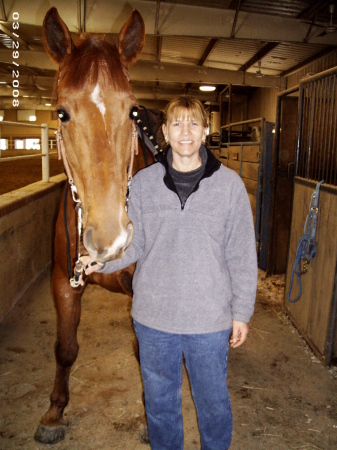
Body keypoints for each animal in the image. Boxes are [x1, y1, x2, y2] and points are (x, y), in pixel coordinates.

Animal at [33, 8, 156, 444]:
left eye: (133, 111)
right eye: (61, 112)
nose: (111, 238)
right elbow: (65, 348)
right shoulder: (62, 282)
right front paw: (54, 413)